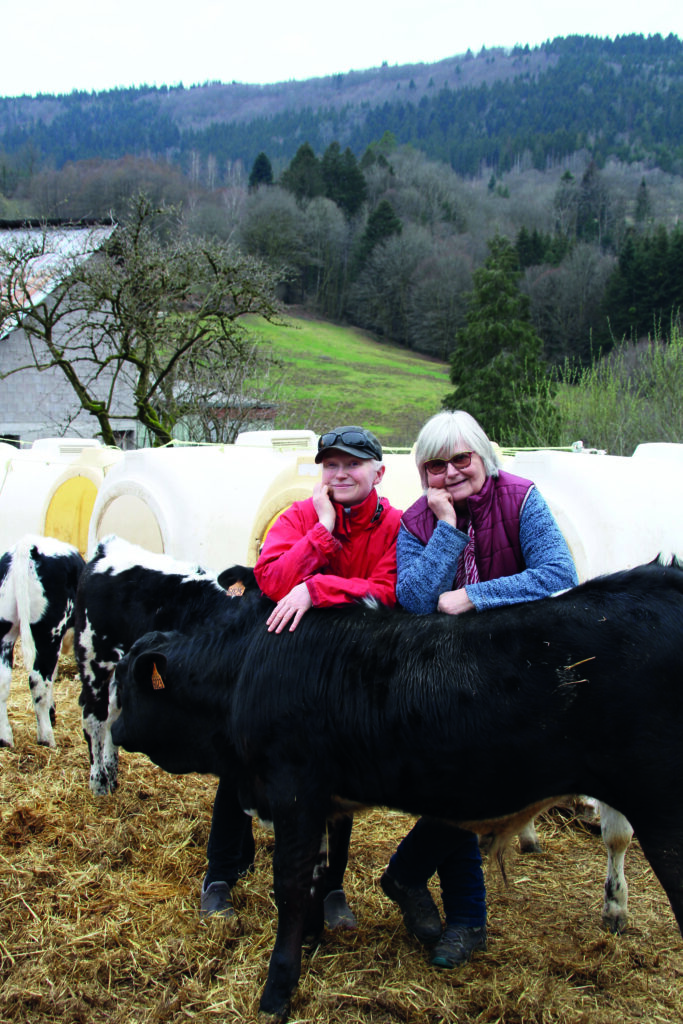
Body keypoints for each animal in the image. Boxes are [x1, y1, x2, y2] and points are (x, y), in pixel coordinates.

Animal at [0, 532, 85, 749]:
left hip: (5, 630)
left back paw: (5, 738)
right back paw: (46, 738)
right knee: (38, 679)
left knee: (4, 680)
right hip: (49, 633)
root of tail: (29, 545)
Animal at [72, 532, 253, 794]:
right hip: (93, 657)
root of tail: (108, 547)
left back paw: (111, 773)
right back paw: (99, 782)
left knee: (112, 713)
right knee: (94, 717)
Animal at [111, 561, 683, 1024]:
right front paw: (313, 944)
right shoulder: (323, 804)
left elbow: (290, 888)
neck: (248, 666)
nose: (112, 731)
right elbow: (316, 877)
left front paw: (277, 990)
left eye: (127, 688)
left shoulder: (294, 793)